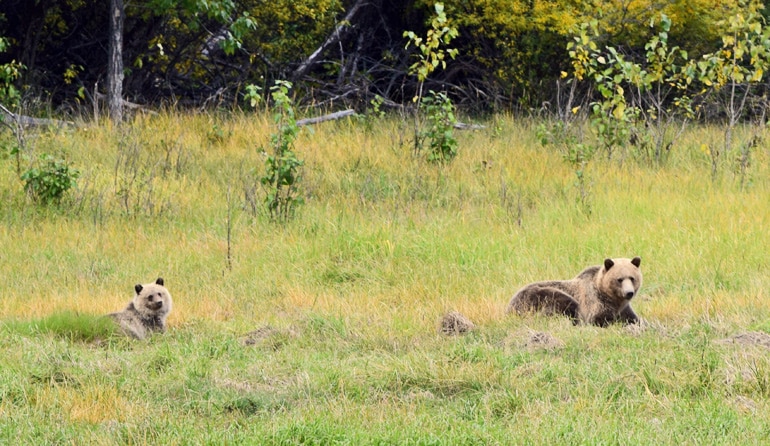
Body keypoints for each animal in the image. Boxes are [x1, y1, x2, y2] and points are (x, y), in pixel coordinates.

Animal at [504, 256, 640, 326]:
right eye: (619, 279)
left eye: (632, 278)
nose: (629, 293)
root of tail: (508, 308)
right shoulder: (594, 301)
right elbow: (598, 318)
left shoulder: (623, 308)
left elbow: (633, 318)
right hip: (534, 296)